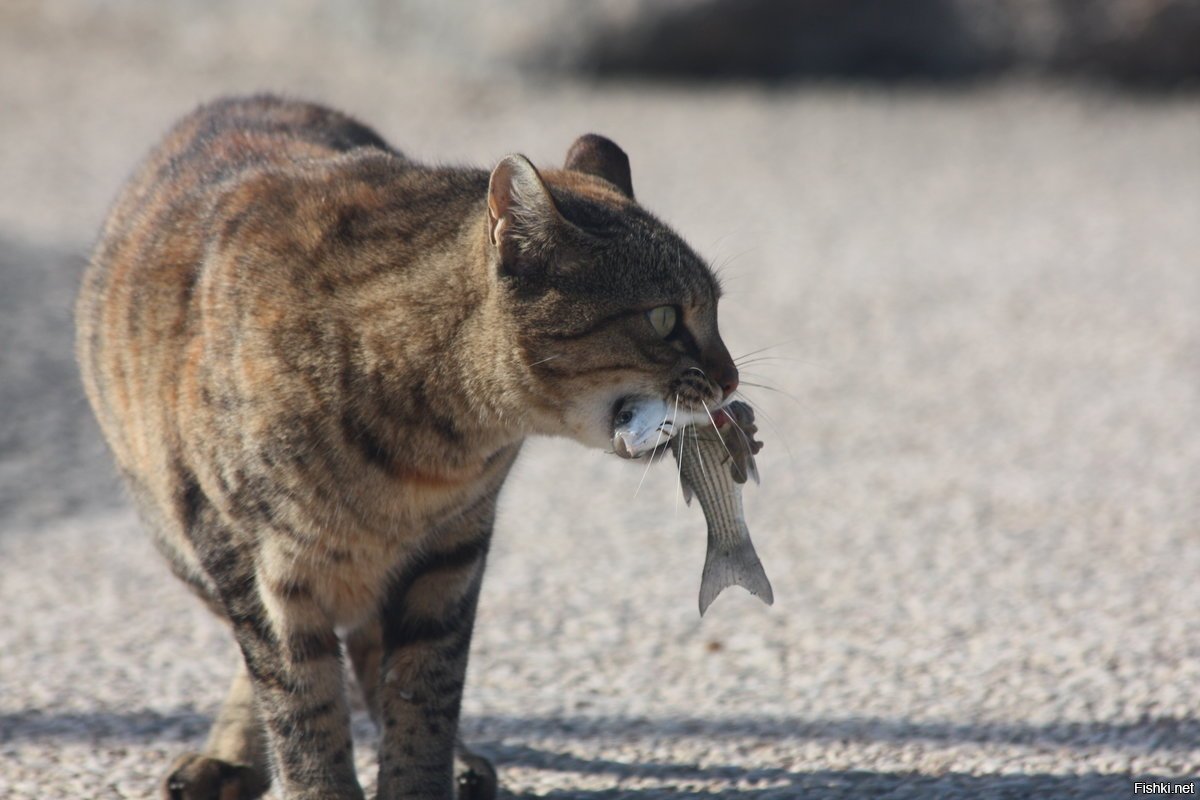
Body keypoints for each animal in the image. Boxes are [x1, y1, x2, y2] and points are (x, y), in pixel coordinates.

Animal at [75, 95, 739, 800]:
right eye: (664, 318)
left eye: (717, 310)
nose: (731, 379)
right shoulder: (253, 563)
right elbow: (300, 702)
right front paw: (319, 786)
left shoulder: (451, 555)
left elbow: (424, 691)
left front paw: (421, 779)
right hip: (184, 544)